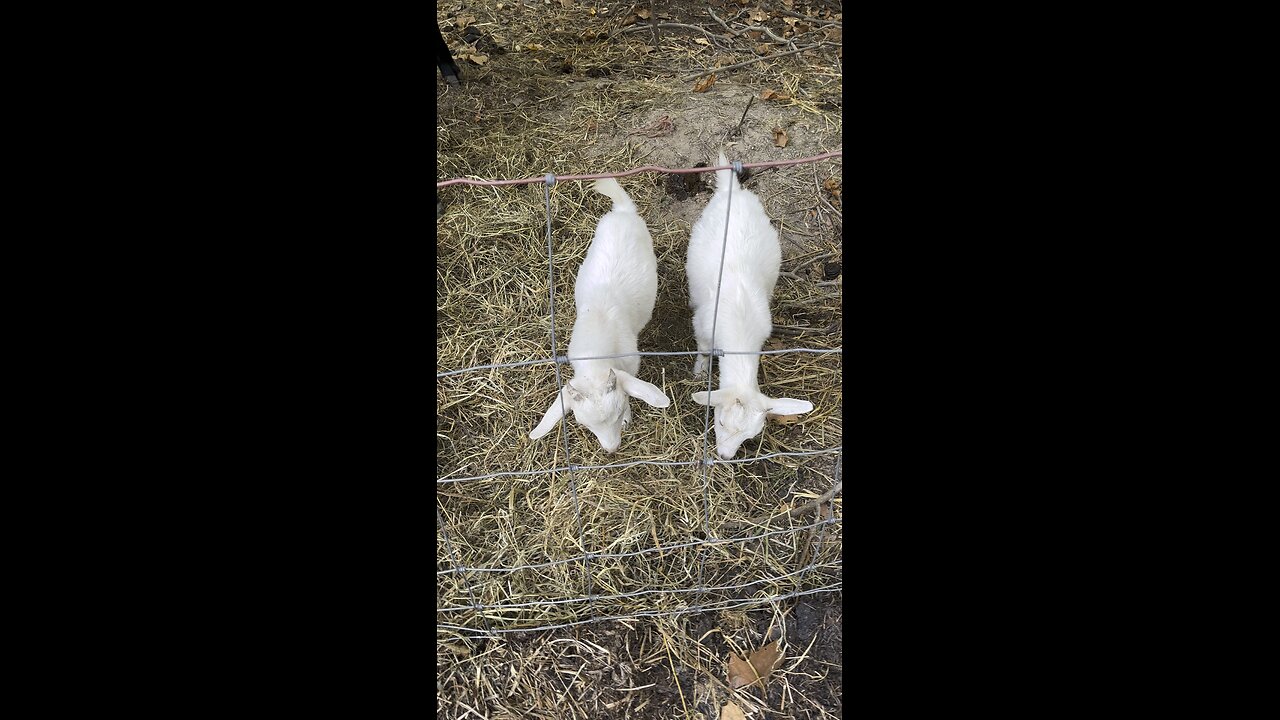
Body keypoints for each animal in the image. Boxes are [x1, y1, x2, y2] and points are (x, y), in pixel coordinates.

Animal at [691, 149, 808, 458]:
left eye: (751, 435)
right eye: (719, 420)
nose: (723, 456)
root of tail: (732, 190)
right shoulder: (703, 325)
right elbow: (703, 349)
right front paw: (700, 371)